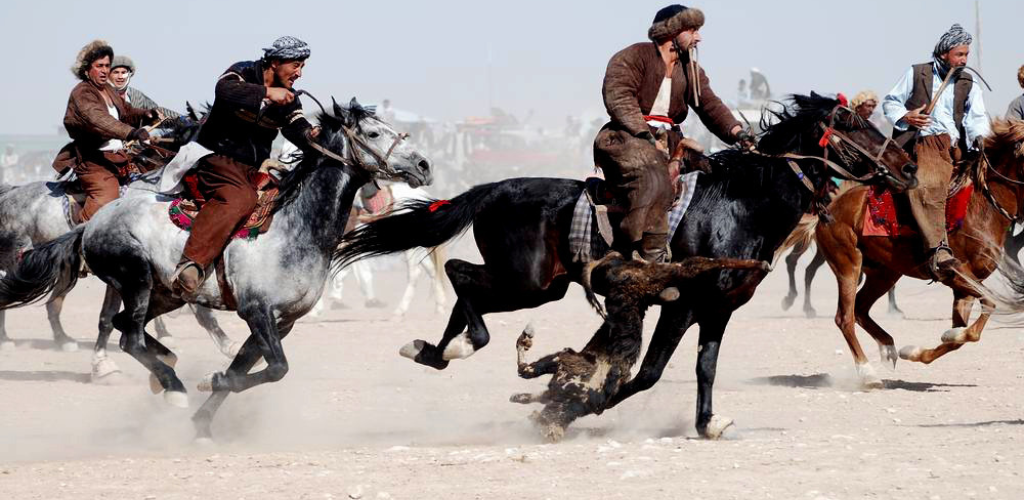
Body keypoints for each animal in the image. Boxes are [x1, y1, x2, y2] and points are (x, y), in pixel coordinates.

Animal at [337, 93, 921, 438]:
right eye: (852, 122)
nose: (908, 167)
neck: (738, 205)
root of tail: (494, 189)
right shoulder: (679, 306)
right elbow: (648, 372)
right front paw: (570, 406)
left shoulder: (718, 309)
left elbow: (703, 367)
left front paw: (706, 423)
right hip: (527, 281)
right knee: (459, 272)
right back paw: (453, 347)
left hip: (541, 285)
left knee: (463, 280)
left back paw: (434, 351)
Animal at [798, 119, 1024, 389]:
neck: (983, 207)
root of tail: (826, 210)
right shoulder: (956, 272)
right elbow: (988, 304)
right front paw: (947, 335)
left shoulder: (964, 286)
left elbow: (961, 336)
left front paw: (921, 348)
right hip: (848, 266)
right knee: (845, 317)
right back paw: (868, 374)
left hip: (885, 273)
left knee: (861, 309)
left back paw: (888, 348)